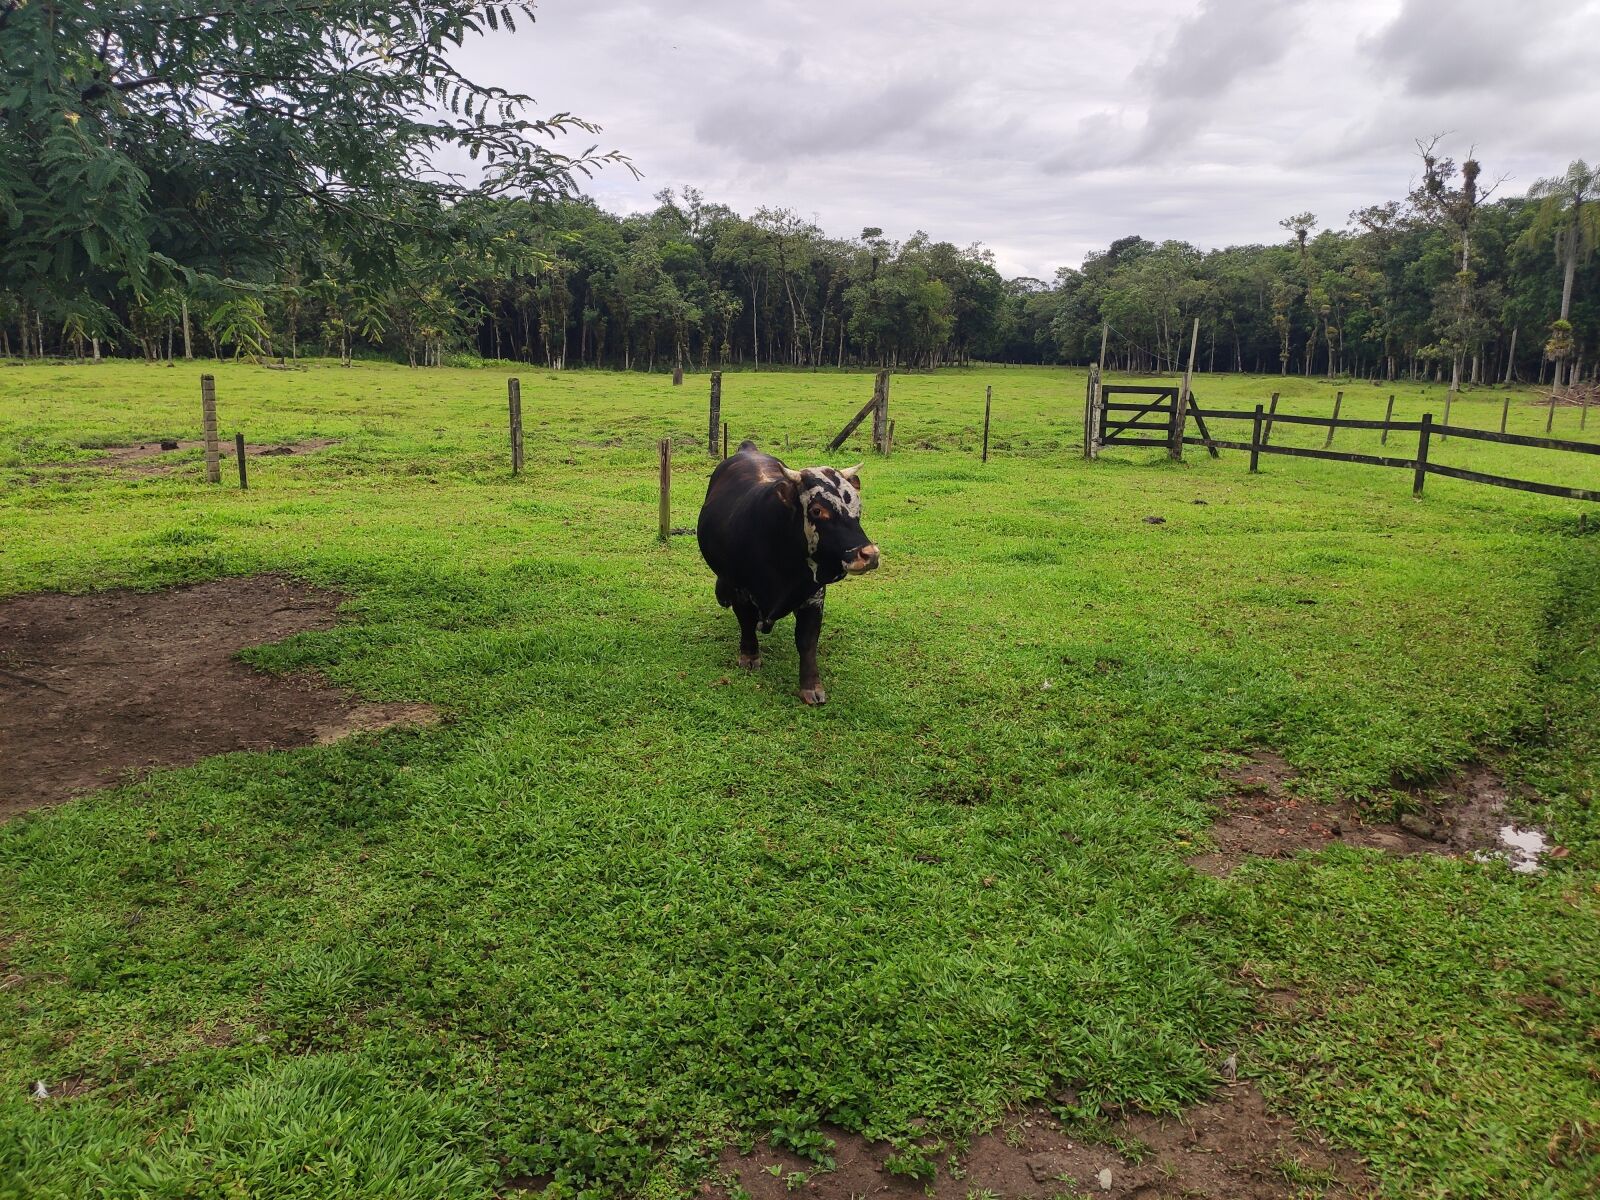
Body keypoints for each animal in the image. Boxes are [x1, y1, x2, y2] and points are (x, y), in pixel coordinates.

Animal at [694, 441, 883, 704]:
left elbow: (807, 640)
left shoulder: (814, 595)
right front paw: (750, 656)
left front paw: (811, 686)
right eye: (816, 510)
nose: (869, 554)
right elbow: (746, 622)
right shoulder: (740, 588)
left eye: (858, 507)